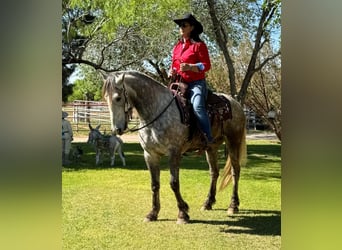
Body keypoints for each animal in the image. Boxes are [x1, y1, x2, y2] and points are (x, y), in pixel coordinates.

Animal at [101, 71, 246, 225]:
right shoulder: (150, 154)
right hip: (211, 147)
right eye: (105, 98)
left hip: (233, 141)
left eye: (118, 98)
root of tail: (235, 103)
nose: (116, 129)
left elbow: (174, 183)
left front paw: (183, 213)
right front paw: (152, 213)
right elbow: (154, 184)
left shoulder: (174, 153)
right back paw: (208, 203)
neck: (156, 111)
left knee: (235, 170)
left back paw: (233, 205)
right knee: (214, 172)